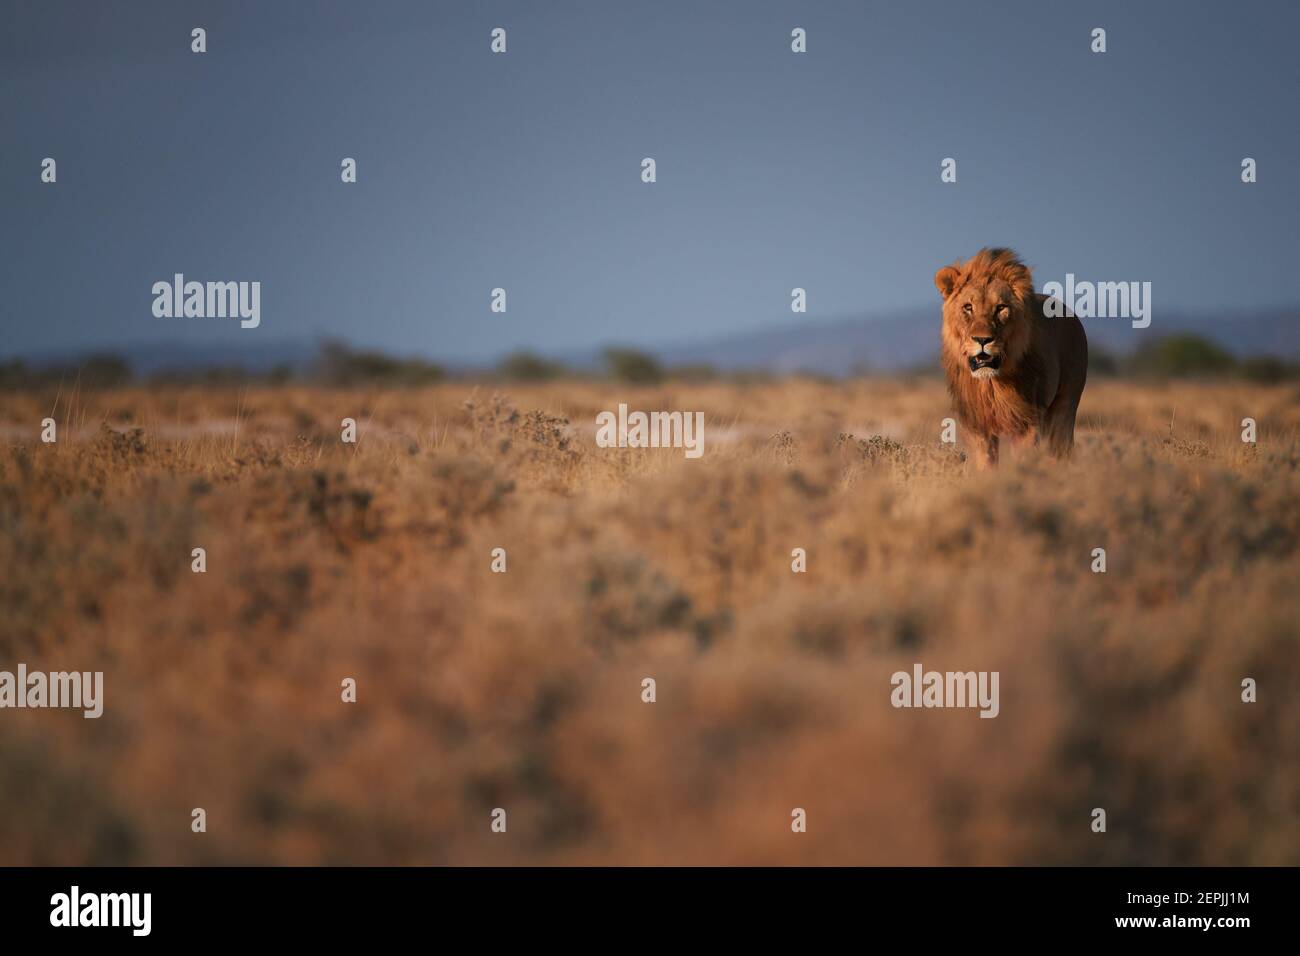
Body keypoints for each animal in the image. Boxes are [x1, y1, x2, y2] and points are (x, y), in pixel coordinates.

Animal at [935, 248, 1086, 468]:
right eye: (968, 307)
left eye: (1000, 307)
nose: (982, 339)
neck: (991, 384)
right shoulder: (978, 425)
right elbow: (986, 464)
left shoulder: (1027, 422)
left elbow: (1024, 460)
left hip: (1065, 406)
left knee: (1061, 448)